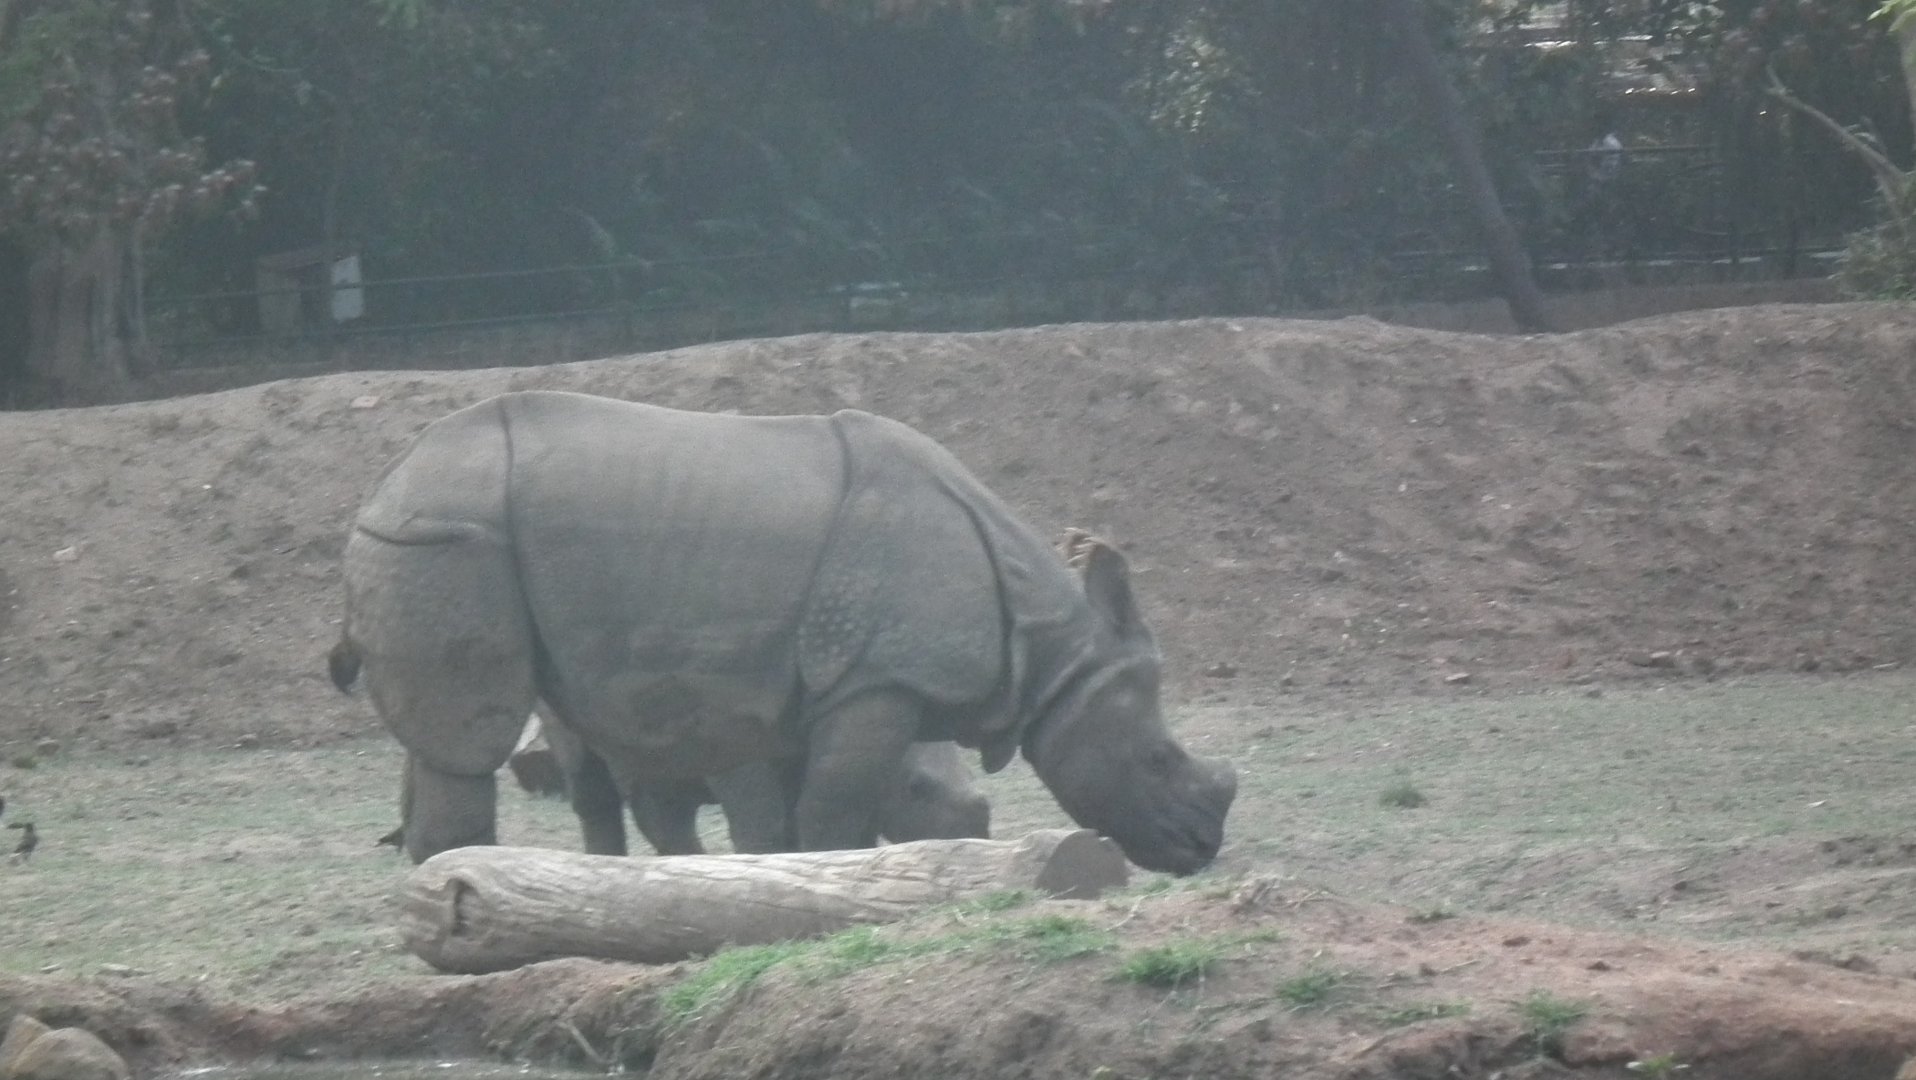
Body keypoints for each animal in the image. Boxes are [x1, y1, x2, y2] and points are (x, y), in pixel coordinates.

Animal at [332, 390, 1234, 874]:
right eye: (1159, 759)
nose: (1201, 848)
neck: (1050, 650)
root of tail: (386, 481)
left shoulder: (825, 689)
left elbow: (816, 813)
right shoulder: (876, 680)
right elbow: (830, 811)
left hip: (447, 535)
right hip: (448, 538)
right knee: (472, 743)